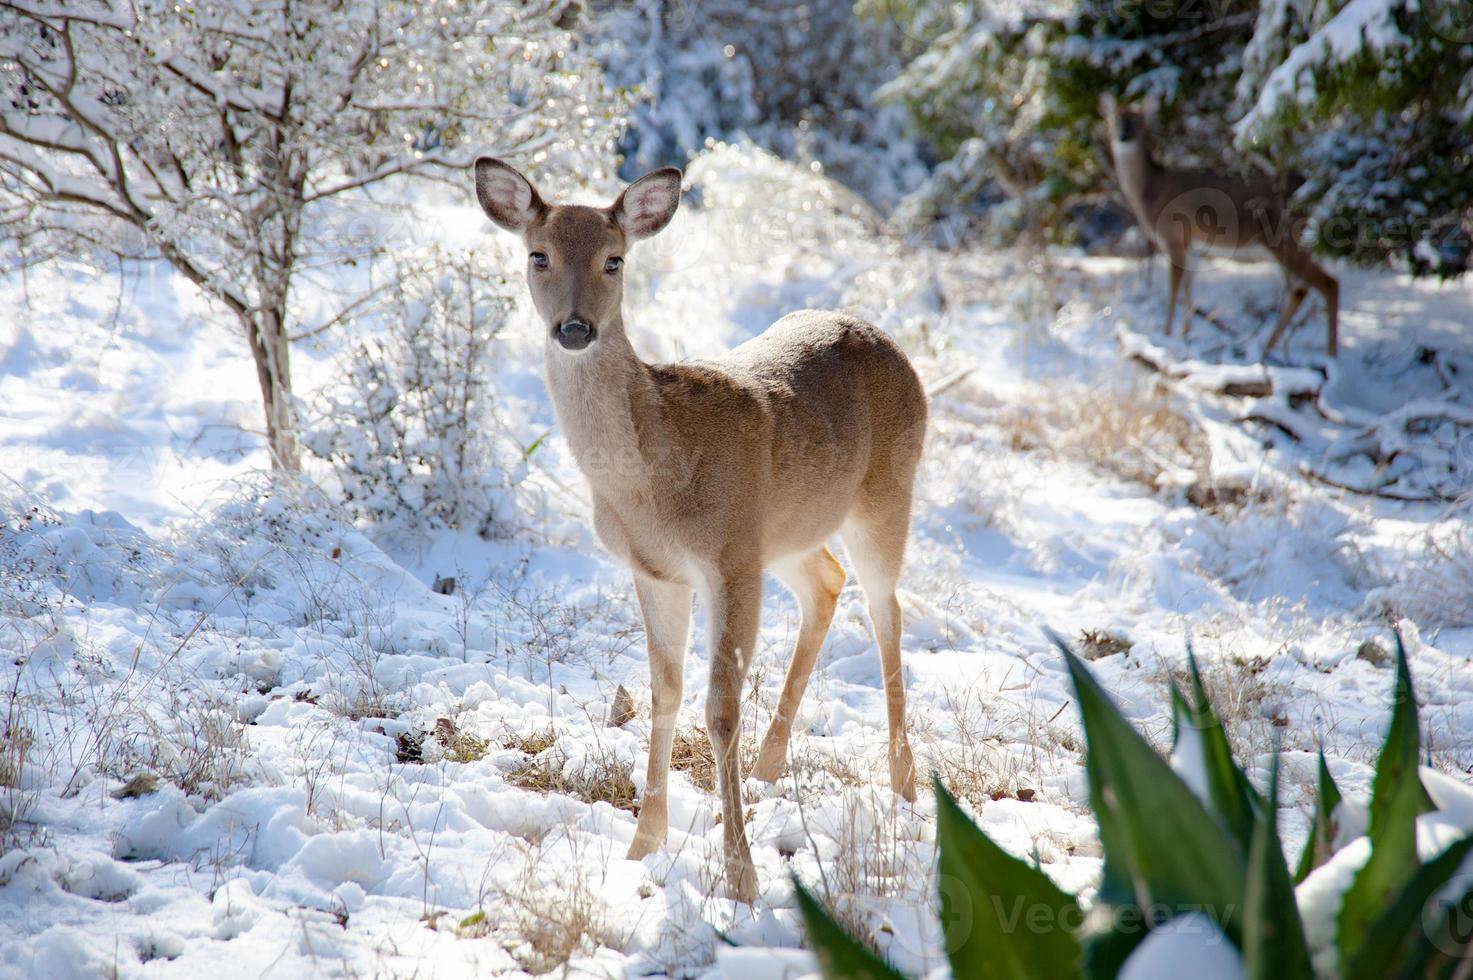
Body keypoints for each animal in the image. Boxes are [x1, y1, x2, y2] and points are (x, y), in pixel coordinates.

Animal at [477, 156, 925, 896]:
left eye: (614, 259)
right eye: (537, 255)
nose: (574, 328)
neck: (650, 475)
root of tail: (893, 345)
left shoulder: (729, 556)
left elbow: (718, 709)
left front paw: (741, 876)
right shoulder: (659, 569)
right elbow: (665, 691)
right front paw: (642, 846)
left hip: (887, 495)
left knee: (887, 609)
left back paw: (904, 784)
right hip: (789, 532)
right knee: (827, 582)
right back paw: (770, 766)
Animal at [1101, 92, 1343, 355]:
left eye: (1138, 120)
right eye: (1114, 118)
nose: (1123, 136)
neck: (1150, 190)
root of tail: (1317, 192)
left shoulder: (1174, 236)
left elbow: (1174, 289)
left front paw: (1165, 336)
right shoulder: (1194, 245)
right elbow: (1188, 288)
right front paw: (1185, 335)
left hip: (1288, 238)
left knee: (1328, 284)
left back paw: (1330, 355)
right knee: (1299, 290)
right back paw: (1266, 350)